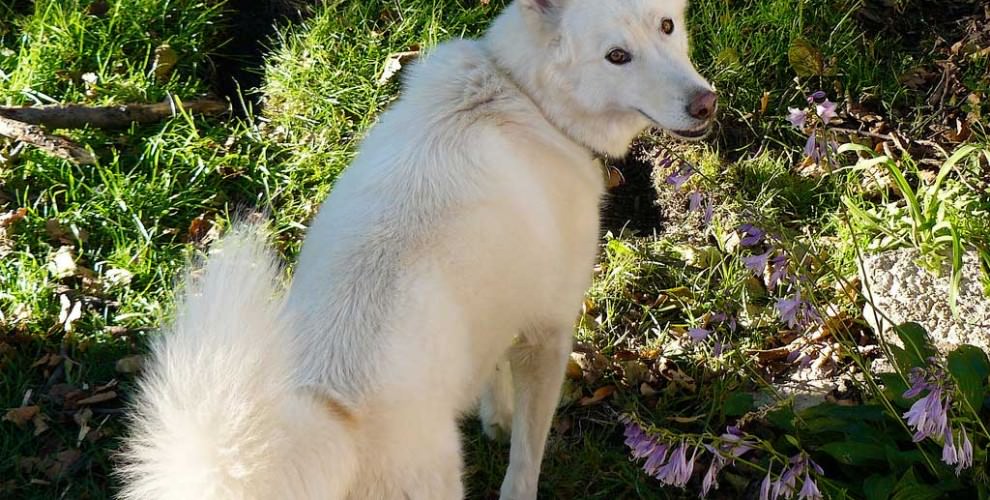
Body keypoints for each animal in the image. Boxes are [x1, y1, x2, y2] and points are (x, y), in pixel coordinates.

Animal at [117, 0, 715, 498]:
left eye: (667, 26)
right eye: (617, 56)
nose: (706, 103)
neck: (523, 92)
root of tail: (326, 416)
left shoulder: (495, 301)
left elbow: (491, 371)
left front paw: (494, 418)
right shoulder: (549, 331)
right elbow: (526, 458)